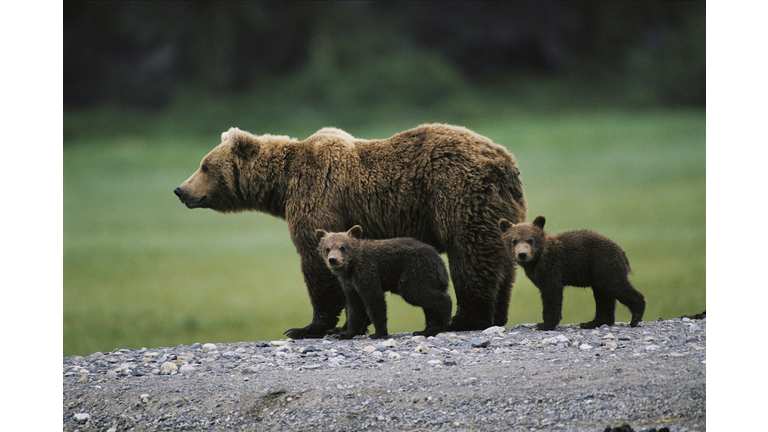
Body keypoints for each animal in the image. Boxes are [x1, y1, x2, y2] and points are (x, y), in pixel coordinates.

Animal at [172, 123, 528, 340]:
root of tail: (506, 161)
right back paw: (496, 315)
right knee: (501, 261)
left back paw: (465, 319)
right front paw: (347, 325)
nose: (180, 190)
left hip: (458, 192)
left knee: (470, 255)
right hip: (501, 210)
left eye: (204, 166)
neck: (282, 186)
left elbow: (318, 265)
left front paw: (306, 327)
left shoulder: (319, 195)